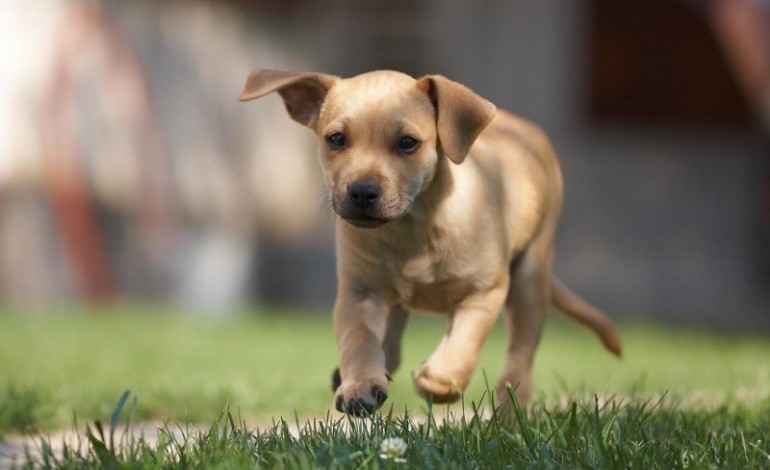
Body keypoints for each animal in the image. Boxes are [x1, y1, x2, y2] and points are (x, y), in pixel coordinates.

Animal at [237, 70, 620, 414]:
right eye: (336, 139)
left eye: (408, 142)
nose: (361, 192)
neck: (412, 228)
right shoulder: (359, 293)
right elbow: (358, 339)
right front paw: (359, 384)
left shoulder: (484, 292)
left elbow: (464, 344)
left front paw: (438, 380)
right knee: (390, 341)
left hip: (529, 281)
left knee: (518, 361)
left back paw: (511, 414)